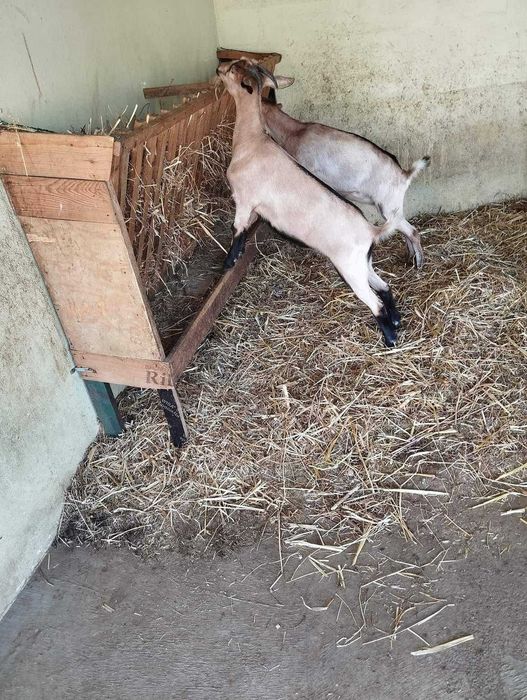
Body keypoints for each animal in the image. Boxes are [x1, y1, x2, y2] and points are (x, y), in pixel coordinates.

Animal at [216, 59, 403, 347]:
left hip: (349, 267)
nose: (218, 68)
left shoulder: (244, 198)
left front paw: (229, 262)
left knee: (375, 302)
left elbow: (238, 229)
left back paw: (390, 339)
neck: (252, 142)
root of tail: (371, 231)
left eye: (233, 69)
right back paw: (396, 321)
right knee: (385, 287)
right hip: (363, 263)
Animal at [260, 97, 430, 268]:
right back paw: (410, 257)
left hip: (388, 206)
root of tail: (404, 174)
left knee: (413, 231)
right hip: (394, 209)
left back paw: (419, 264)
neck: (295, 132)